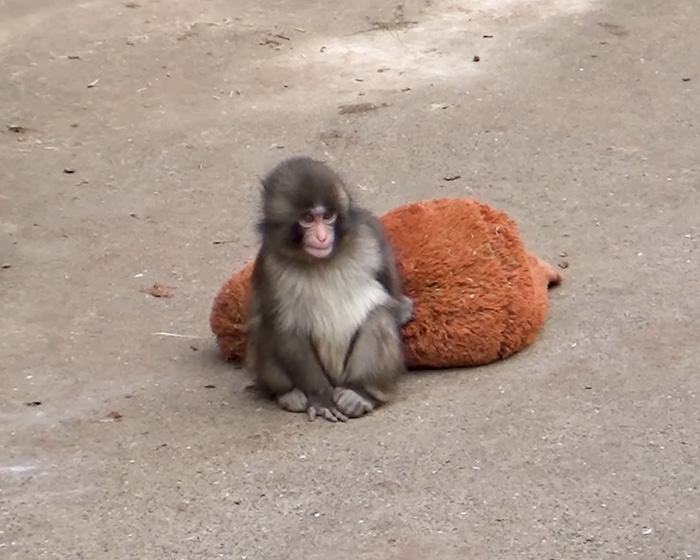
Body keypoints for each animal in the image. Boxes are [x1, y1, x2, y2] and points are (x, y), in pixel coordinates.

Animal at [244, 156, 414, 422]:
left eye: (328, 216)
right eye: (308, 219)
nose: (323, 237)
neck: (323, 260)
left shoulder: (370, 232)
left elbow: (392, 298)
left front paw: (402, 308)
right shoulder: (268, 266)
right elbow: (287, 330)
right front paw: (321, 396)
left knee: (378, 318)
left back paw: (361, 393)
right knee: (264, 331)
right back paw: (288, 394)